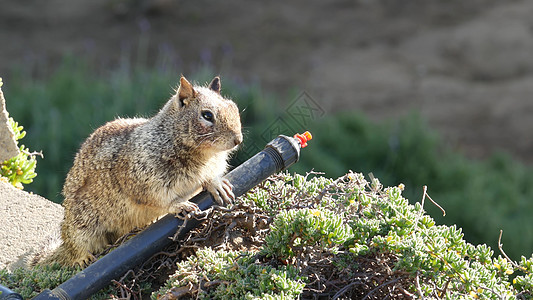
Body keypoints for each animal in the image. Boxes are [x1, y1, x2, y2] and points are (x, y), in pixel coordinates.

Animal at [40, 76, 243, 266]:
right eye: (207, 115)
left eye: (233, 107)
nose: (238, 139)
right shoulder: (143, 181)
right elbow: (159, 200)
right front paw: (179, 205)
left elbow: (208, 179)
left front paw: (216, 184)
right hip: (81, 224)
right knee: (74, 245)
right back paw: (81, 257)